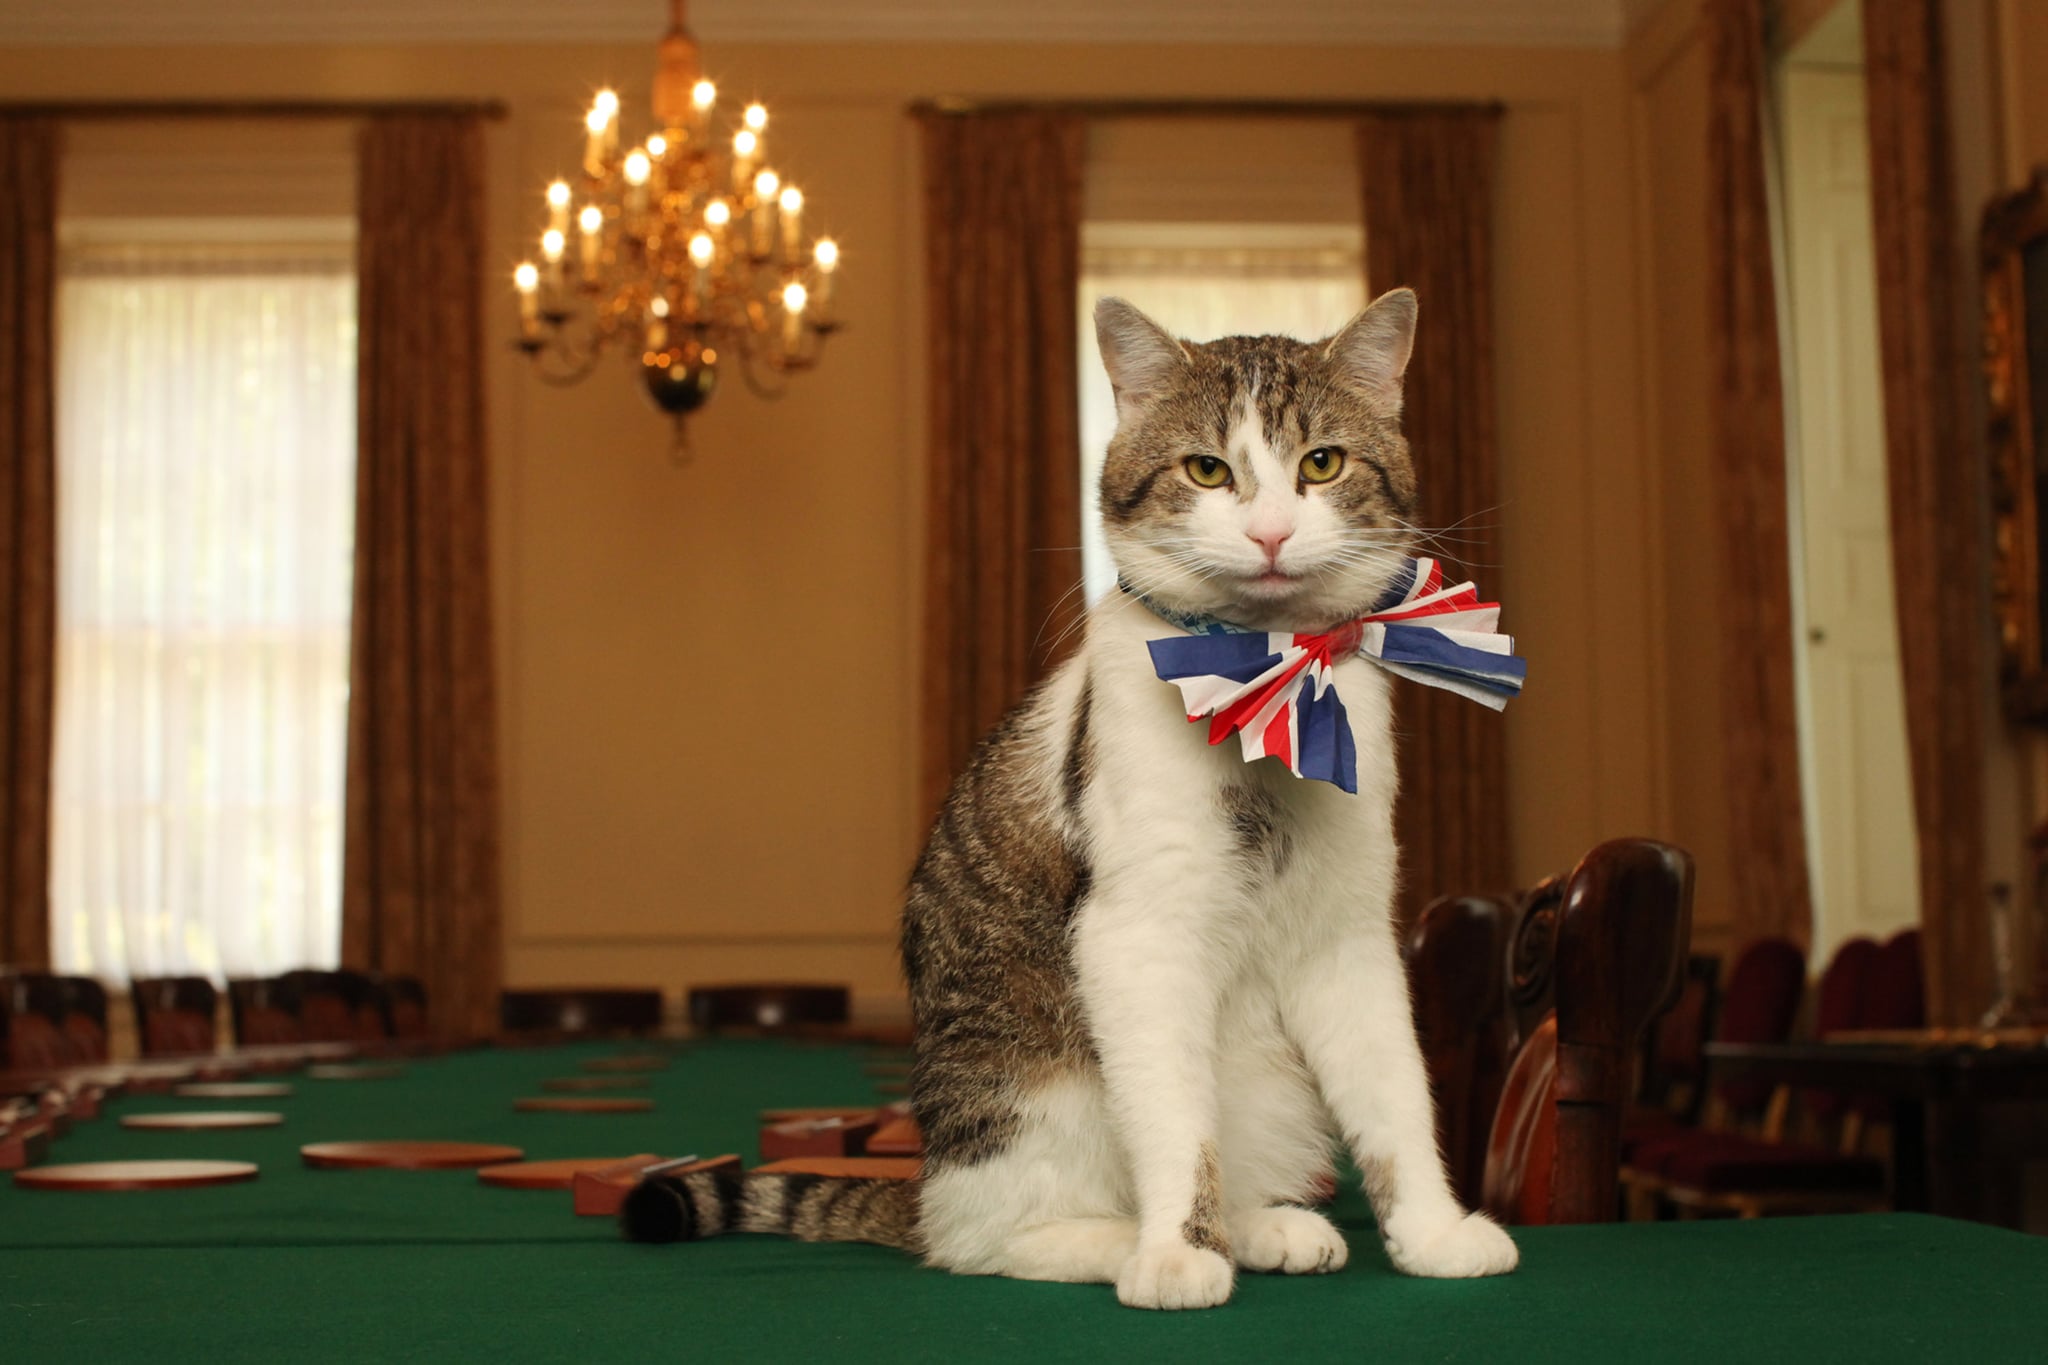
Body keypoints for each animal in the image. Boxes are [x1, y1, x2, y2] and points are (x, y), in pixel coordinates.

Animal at [622, 290, 1523, 1309]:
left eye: (1321, 463)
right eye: (1207, 470)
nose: (1270, 533)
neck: (1268, 675)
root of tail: (926, 1183)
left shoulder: (1349, 933)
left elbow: (1396, 1094)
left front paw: (1433, 1233)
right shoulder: (1135, 934)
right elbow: (1175, 1122)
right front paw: (1177, 1252)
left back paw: (1261, 1224)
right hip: (1036, 1089)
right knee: (987, 1237)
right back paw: (1120, 1241)